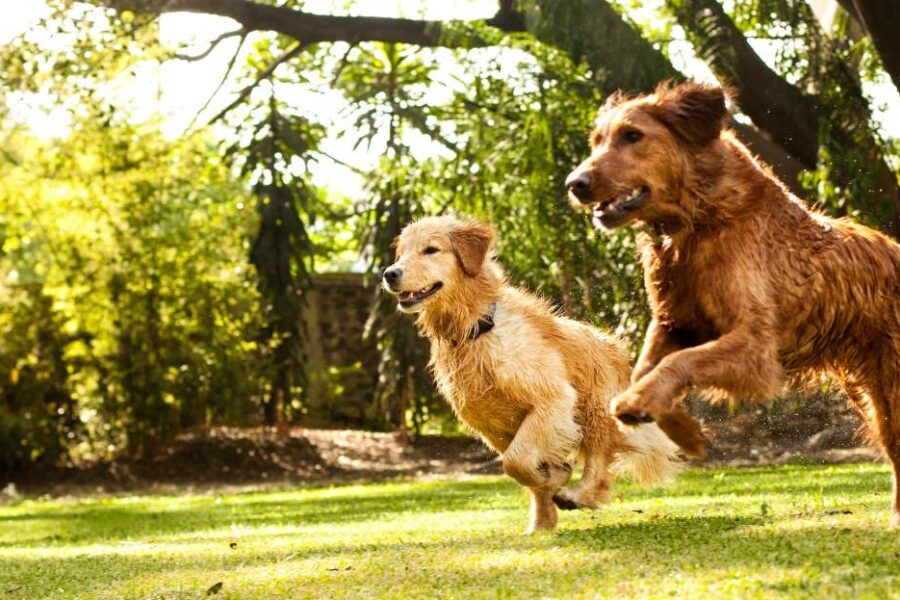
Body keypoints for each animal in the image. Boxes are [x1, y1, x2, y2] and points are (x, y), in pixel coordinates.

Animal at [568, 82, 900, 528]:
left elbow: (680, 363)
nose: (575, 183)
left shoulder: (755, 343)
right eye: (597, 141)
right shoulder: (674, 322)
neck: (701, 221)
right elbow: (645, 369)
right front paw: (683, 430)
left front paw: (639, 404)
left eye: (632, 135)